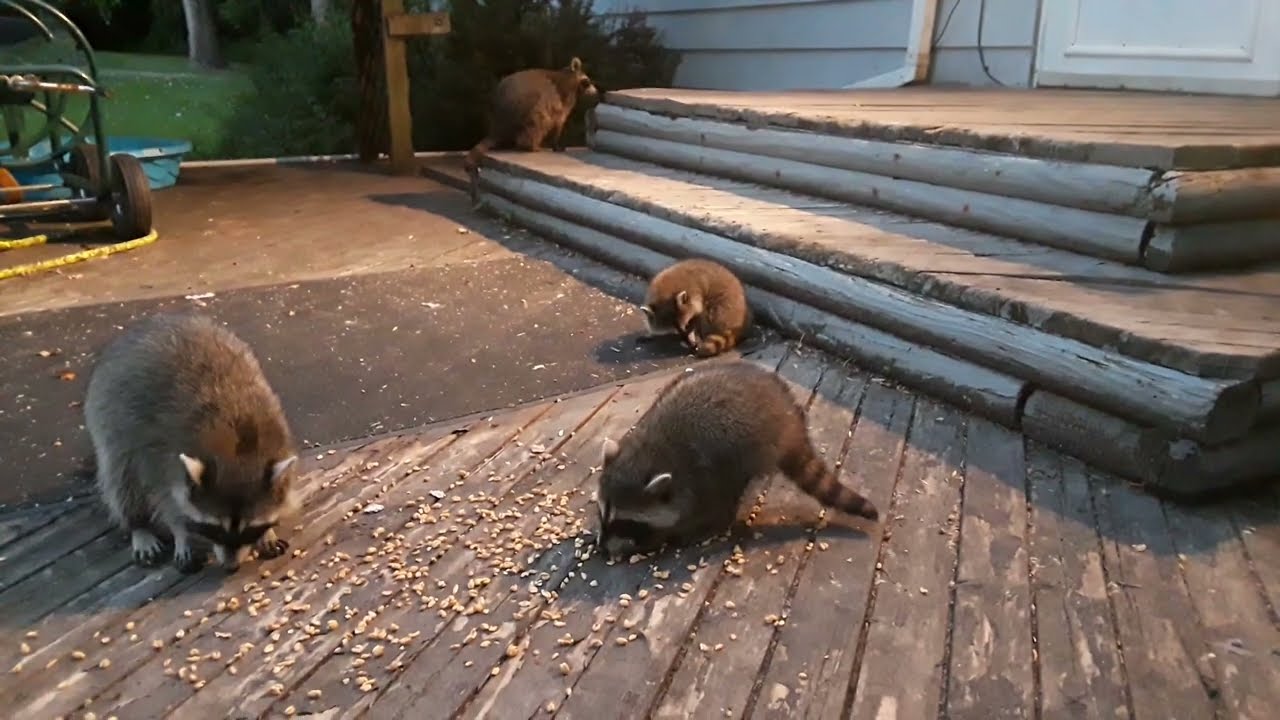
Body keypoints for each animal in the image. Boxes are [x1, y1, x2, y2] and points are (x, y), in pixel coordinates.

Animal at [83, 312, 300, 574]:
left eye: (250, 529)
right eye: (215, 529)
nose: (231, 567)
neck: (238, 450)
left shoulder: (276, 431)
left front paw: (267, 532)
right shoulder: (162, 456)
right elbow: (169, 501)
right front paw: (182, 534)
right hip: (111, 418)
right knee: (121, 478)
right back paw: (138, 525)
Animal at [464, 56, 600, 201]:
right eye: (587, 81)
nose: (596, 92)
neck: (568, 76)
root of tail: (499, 124)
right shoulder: (564, 99)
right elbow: (559, 122)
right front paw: (556, 144)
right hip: (528, 106)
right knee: (538, 122)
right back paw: (530, 145)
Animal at [594, 360, 878, 559]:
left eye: (627, 522)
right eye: (602, 513)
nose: (601, 548)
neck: (650, 452)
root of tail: (788, 417)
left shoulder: (697, 481)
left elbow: (694, 513)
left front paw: (657, 538)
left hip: (742, 452)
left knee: (729, 494)